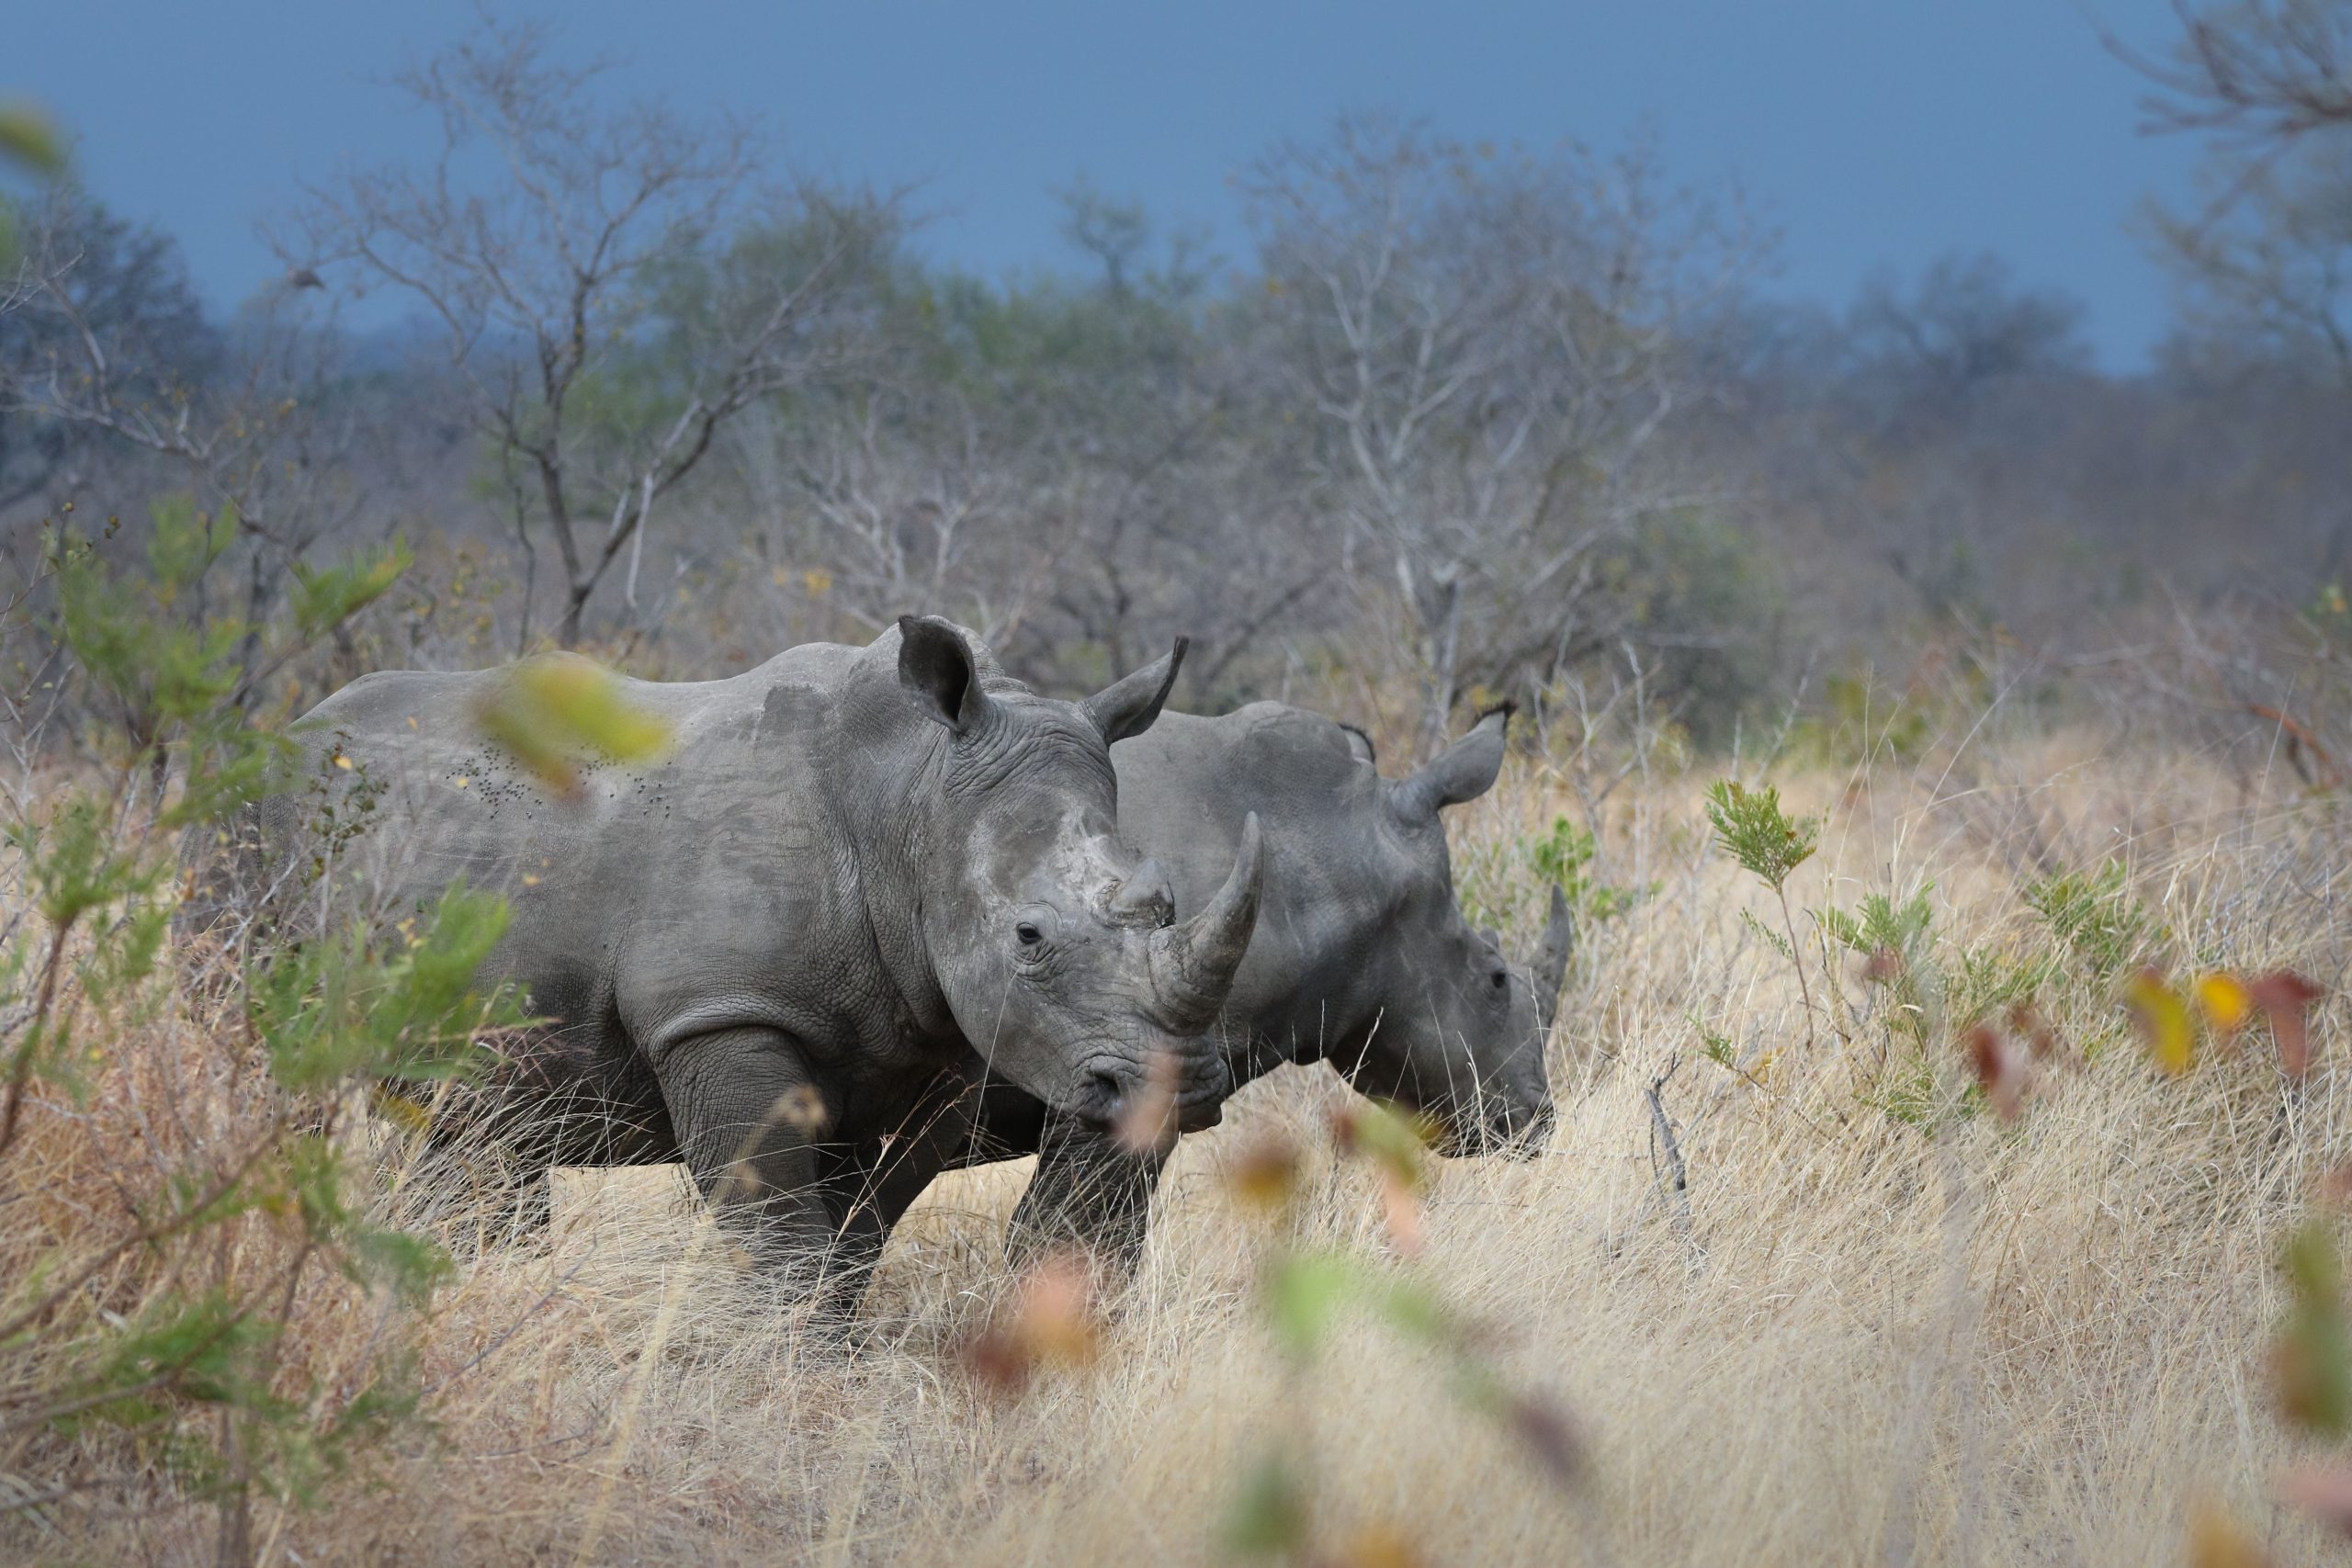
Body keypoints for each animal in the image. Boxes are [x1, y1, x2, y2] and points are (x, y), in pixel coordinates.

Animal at [195, 620, 1270, 1306]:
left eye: (1165, 903)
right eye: (1030, 938)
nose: (1182, 1086)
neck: (913, 799)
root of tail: (286, 732)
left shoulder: (913, 1037)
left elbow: (848, 1241)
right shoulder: (723, 1009)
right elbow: (781, 1239)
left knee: (478, 1124)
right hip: (246, 837)